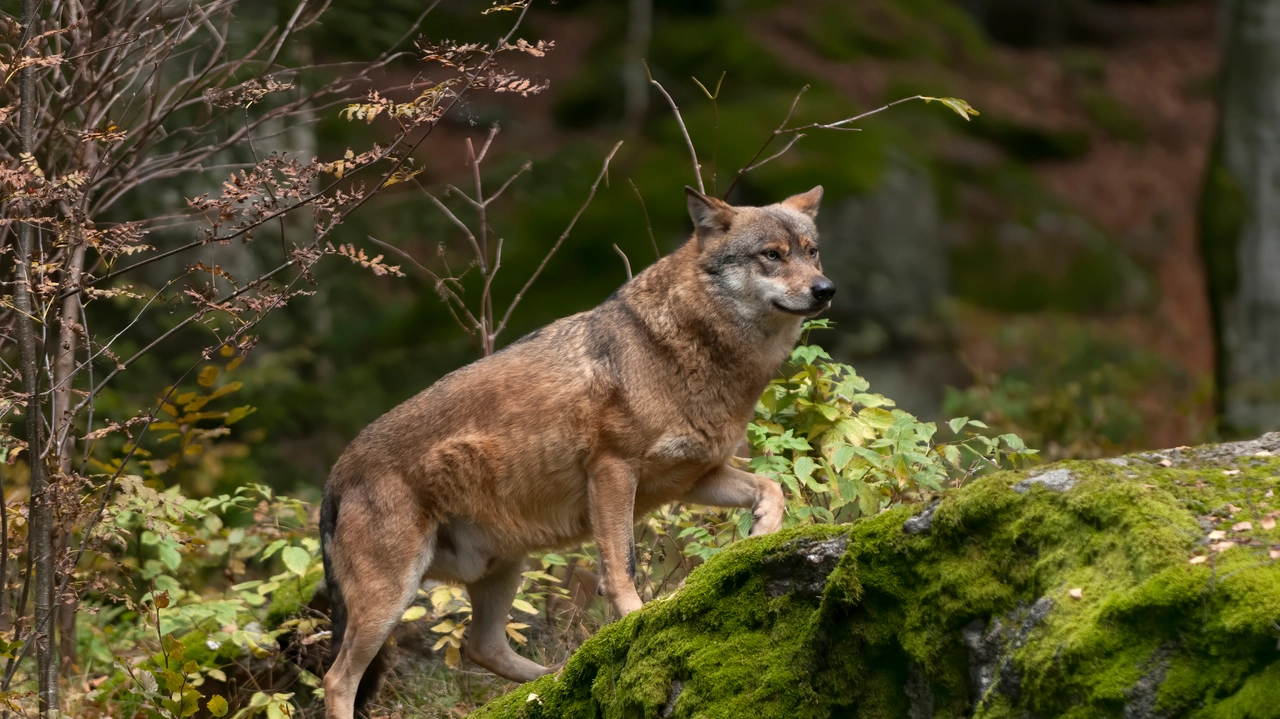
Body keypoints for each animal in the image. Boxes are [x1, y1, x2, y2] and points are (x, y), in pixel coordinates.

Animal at [320, 184, 829, 716]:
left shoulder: (694, 478)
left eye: (812, 252)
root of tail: (333, 478)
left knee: (481, 647)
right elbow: (621, 567)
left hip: (502, 568)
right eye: (771, 255)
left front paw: (758, 536)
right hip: (392, 599)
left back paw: (556, 679)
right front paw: (638, 622)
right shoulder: (612, 470)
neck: (692, 348)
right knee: (338, 678)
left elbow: (772, 489)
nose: (825, 289)